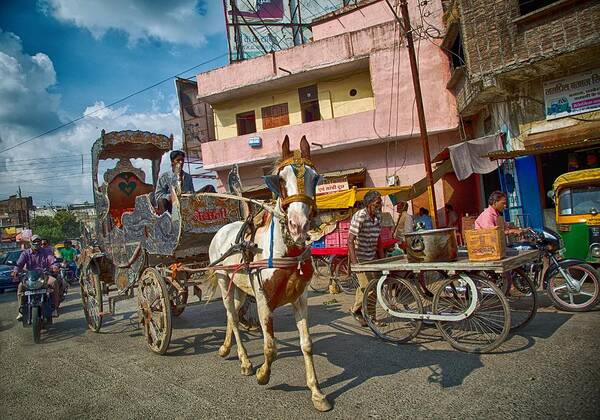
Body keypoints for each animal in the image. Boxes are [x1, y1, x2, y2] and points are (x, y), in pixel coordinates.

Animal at [207, 136, 332, 412]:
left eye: (315, 177)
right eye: (280, 179)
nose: (299, 226)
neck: (284, 251)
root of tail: (221, 230)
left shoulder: (300, 298)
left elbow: (307, 344)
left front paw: (317, 392)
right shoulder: (263, 299)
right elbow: (271, 347)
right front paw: (263, 374)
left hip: (240, 288)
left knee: (233, 315)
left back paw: (225, 348)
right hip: (223, 280)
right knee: (233, 318)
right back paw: (244, 361)